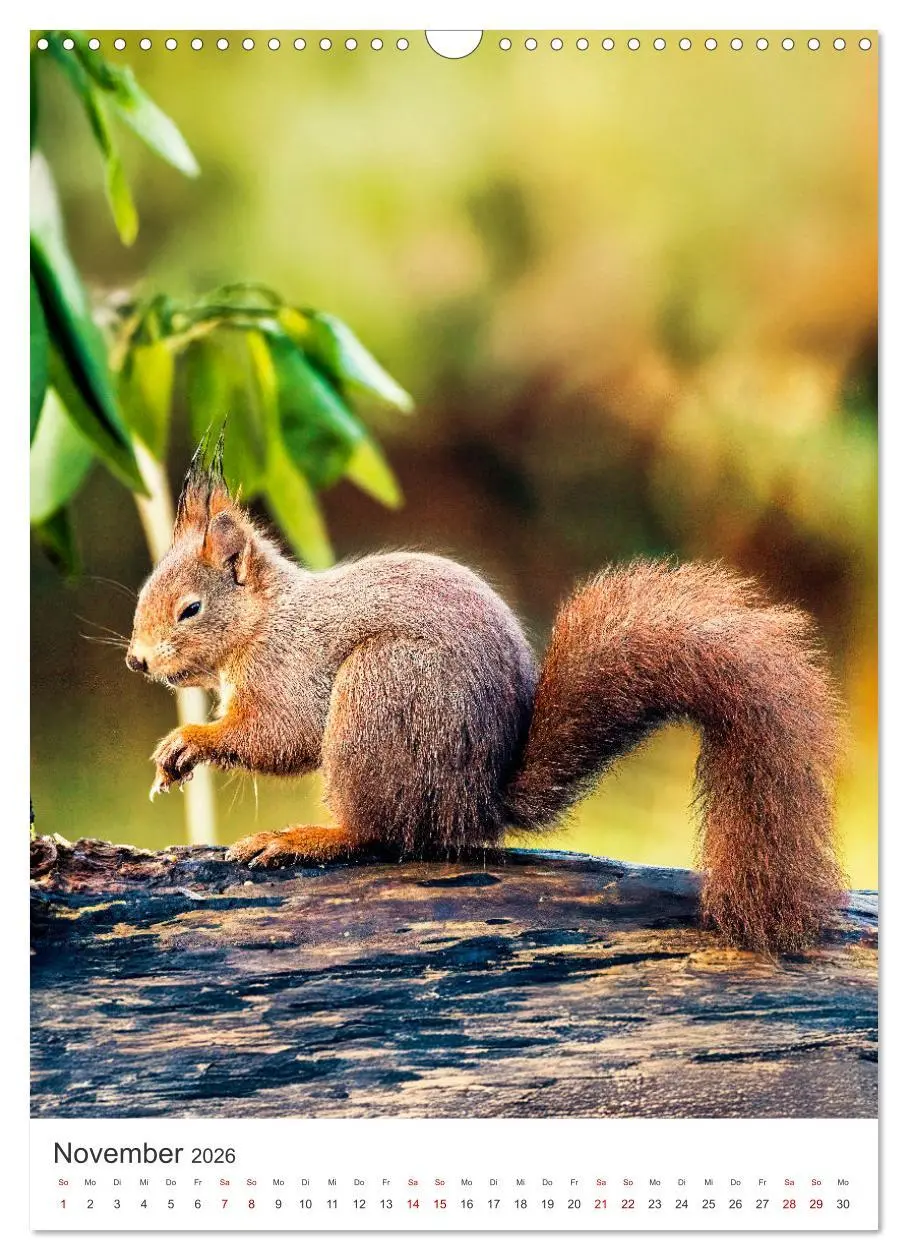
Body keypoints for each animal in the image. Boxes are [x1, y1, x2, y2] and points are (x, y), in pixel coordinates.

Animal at [126, 444, 844, 954]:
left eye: (190, 609)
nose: (137, 660)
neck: (265, 621)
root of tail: (476, 803)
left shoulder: (291, 670)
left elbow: (282, 736)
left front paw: (189, 742)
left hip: (379, 693)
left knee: (378, 833)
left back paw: (305, 838)